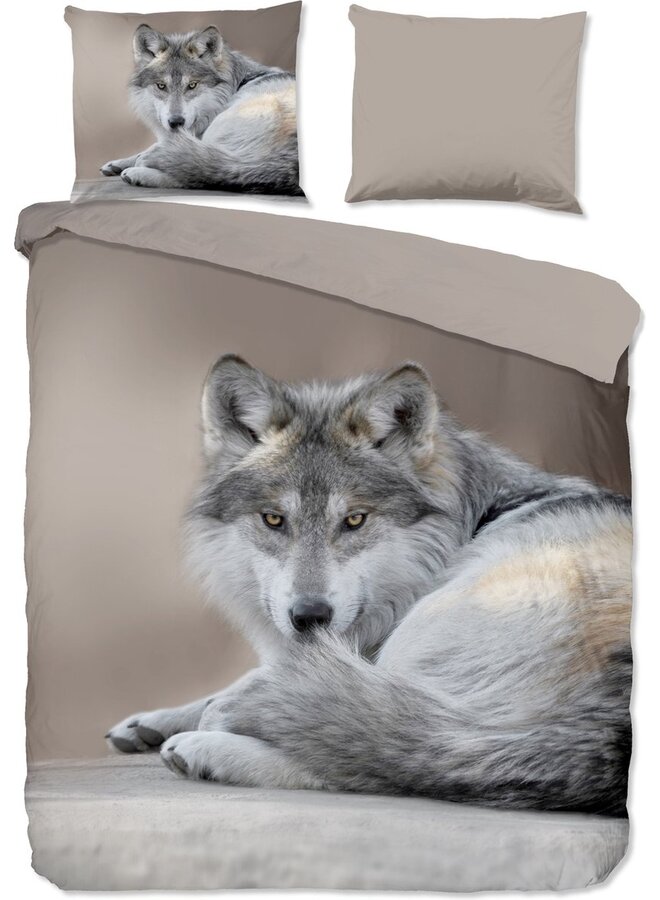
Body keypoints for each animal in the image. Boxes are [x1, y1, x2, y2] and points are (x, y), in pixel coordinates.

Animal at [101, 24, 301, 195]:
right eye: (161, 86)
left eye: (192, 85)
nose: (176, 122)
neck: (235, 85)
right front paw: (115, 164)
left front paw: (140, 161)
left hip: (222, 129)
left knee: (203, 175)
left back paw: (138, 173)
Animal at [107, 355, 632, 815]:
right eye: (274, 519)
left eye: (355, 519)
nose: (310, 616)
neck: (473, 519)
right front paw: (149, 720)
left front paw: (211, 715)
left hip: (429, 633)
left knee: (384, 761)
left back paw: (206, 749)